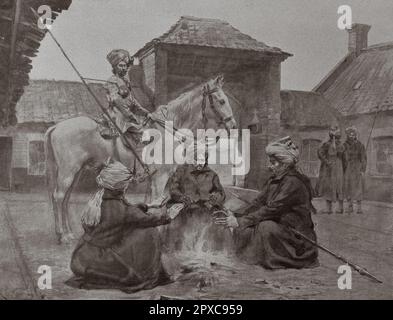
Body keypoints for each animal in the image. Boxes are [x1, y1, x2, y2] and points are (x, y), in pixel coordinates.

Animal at [45, 75, 236, 244]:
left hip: (75, 172)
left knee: (66, 198)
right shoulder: (160, 177)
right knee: (59, 196)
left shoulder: (154, 179)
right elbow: (158, 203)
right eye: (221, 101)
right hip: (68, 171)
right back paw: (62, 235)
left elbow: (152, 203)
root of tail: (56, 126)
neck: (166, 131)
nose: (233, 125)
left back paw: (68, 233)